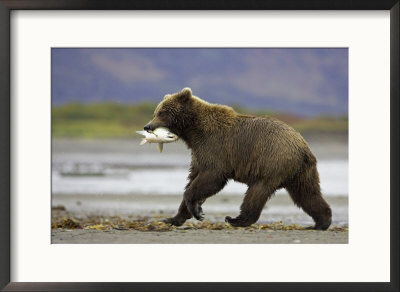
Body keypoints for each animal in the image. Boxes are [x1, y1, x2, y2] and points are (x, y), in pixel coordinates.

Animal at [144, 88, 332, 229]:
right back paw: (321, 222)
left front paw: (197, 209)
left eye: (162, 112)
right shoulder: (198, 154)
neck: (192, 132)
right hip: (301, 171)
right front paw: (173, 218)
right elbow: (193, 178)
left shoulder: (215, 147)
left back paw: (235, 219)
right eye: (156, 112)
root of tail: (303, 147)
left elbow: (211, 177)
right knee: (307, 194)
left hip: (272, 160)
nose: (147, 126)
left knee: (257, 191)